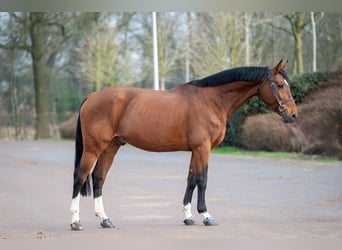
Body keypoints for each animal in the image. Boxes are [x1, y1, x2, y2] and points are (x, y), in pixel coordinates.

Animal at [69, 60, 296, 230]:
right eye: (280, 84)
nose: (293, 115)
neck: (211, 100)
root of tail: (91, 97)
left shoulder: (196, 150)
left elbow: (191, 179)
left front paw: (188, 216)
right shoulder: (203, 148)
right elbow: (202, 180)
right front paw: (206, 216)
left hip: (111, 146)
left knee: (98, 178)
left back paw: (105, 219)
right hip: (93, 148)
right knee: (80, 177)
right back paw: (75, 221)